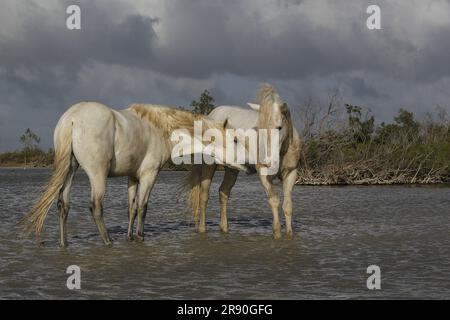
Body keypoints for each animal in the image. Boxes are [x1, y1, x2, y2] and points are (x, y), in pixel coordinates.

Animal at [22, 101, 250, 246]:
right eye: (235, 140)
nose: (248, 165)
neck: (161, 129)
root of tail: (72, 119)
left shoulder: (132, 176)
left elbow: (131, 208)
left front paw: (130, 237)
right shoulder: (149, 175)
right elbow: (143, 206)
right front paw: (140, 237)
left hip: (70, 169)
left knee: (63, 204)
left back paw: (64, 243)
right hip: (97, 174)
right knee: (95, 206)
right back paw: (107, 241)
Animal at [185, 84, 300, 239]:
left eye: (279, 127)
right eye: (259, 129)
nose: (268, 161)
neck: (283, 150)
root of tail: (212, 114)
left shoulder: (291, 174)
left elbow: (288, 206)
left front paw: (289, 235)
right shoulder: (264, 174)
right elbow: (274, 200)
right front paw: (277, 234)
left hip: (232, 168)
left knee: (223, 192)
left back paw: (225, 228)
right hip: (208, 164)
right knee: (204, 195)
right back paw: (203, 230)